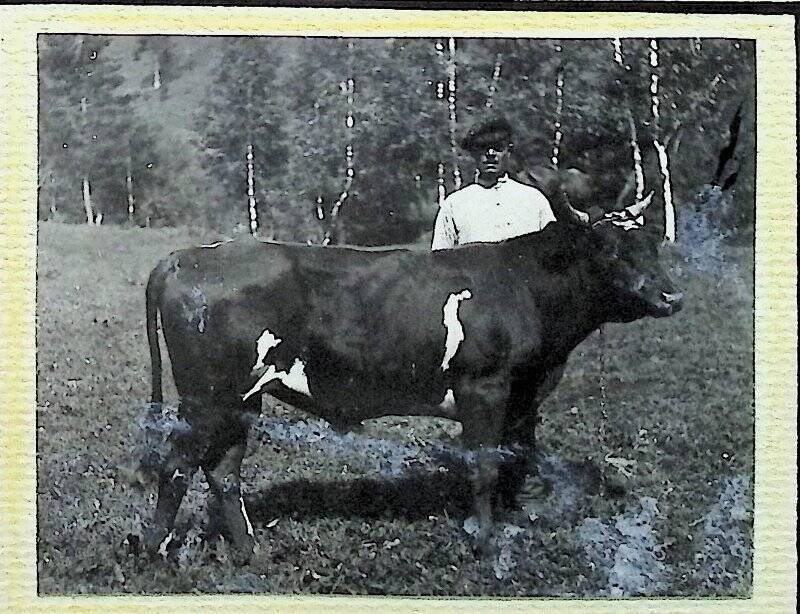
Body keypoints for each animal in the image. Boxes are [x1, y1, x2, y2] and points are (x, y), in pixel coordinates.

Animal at [141, 177, 680, 564]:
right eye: (609, 249)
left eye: (655, 243)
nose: (671, 295)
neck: (522, 285)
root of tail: (185, 256)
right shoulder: (484, 387)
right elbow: (484, 464)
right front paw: (486, 545)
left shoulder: (524, 395)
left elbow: (517, 454)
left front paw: (514, 519)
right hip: (207, 397)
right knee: (177, 465)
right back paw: (154, 553)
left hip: (242, 399)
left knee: (222, 471)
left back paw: (251, 555)